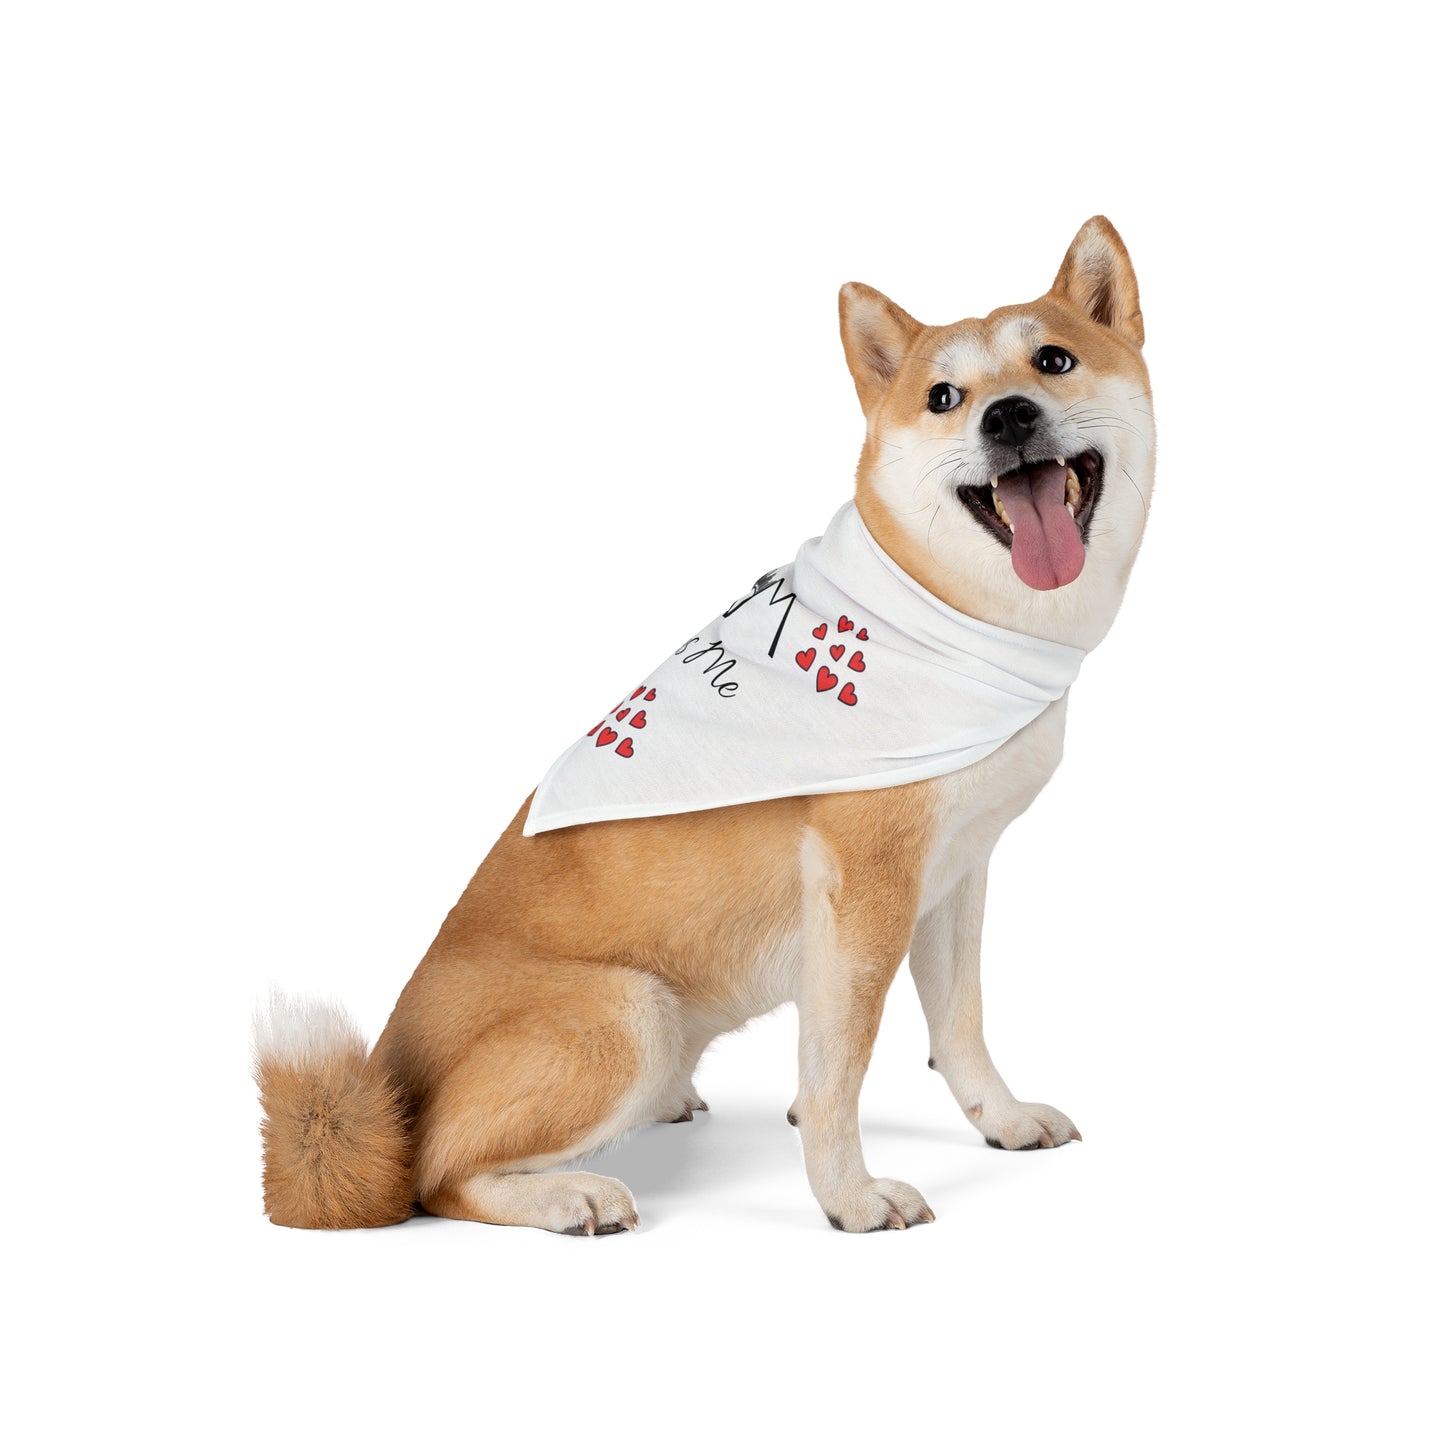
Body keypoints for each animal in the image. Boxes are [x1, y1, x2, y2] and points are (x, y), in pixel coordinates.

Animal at [248, 213, 1150, 1231]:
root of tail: (381, 1074)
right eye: (944, 397)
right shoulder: (865, 890)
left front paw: (999, 1118)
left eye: (1053, 359)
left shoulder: (953, 872)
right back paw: (569, 1193)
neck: (954, 619)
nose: (1007, 417)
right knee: (433, 1173)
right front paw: (849, 1195)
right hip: (631, 1013)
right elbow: (837, 1068)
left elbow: (958, 1023)